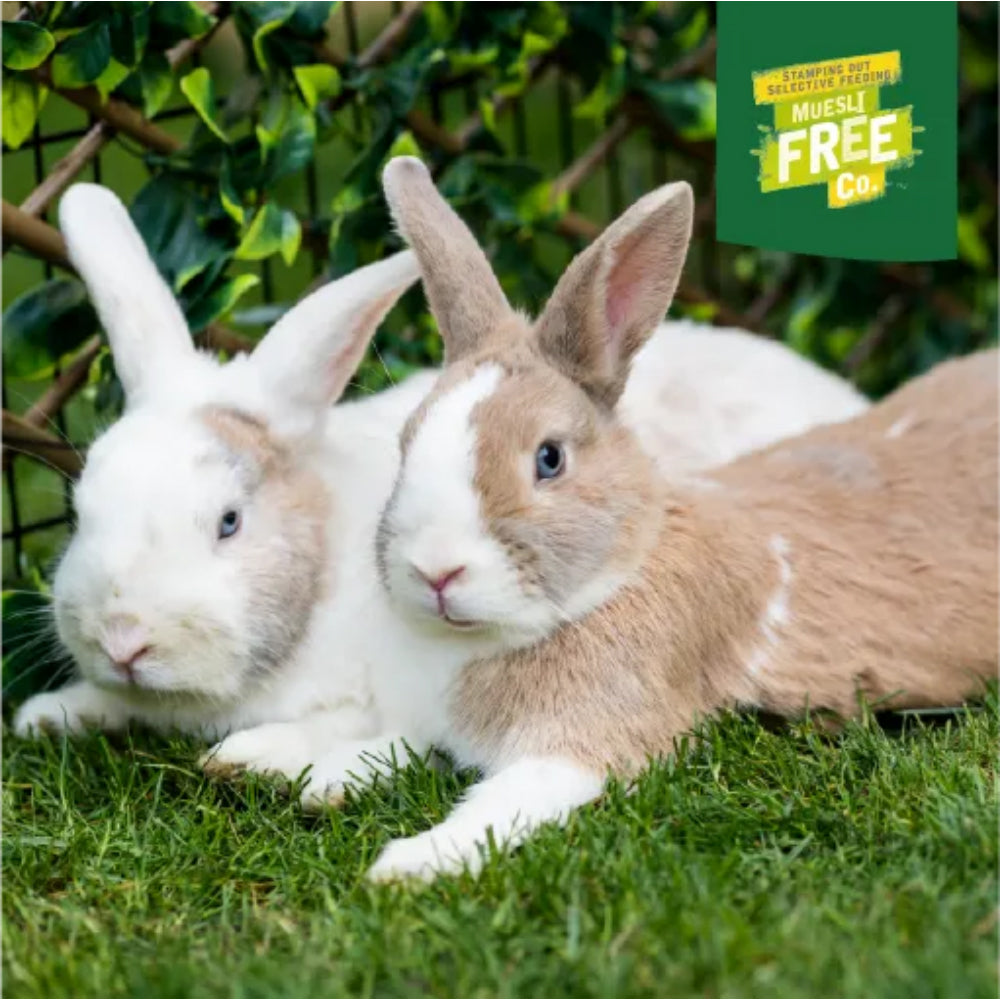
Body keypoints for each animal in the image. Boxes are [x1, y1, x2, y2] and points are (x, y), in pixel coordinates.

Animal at [366, 156, 997, 881]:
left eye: (549, 459)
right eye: (405, 443)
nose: (435, 572)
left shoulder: (585, 743)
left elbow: (503, 802)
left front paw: (404, 865)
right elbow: (385, 743)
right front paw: (304, 769)